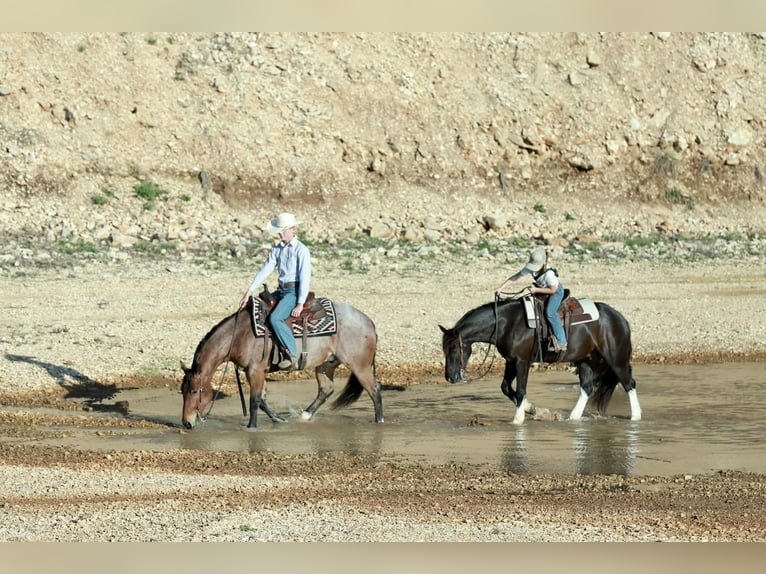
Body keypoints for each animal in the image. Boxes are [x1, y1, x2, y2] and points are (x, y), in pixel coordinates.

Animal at [181, 299, 383, 429]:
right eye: (182, 391)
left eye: (194, 391)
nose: (186, 423)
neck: (239, 335)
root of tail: (368, 321)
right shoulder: (253, 372)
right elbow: (262, 400)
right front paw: (278, 419)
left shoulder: (255, 371)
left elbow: (254, 400)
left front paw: (251, 427)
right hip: (326, 365)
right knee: (326, 390)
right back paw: (305, 415)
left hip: (359, 366)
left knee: (374, 389)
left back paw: (379, 421)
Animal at [439, 297, 642, 425]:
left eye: (455, 347)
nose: (450, 377)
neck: (507, 324)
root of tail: (619, 318)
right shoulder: (510, 361)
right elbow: (506, 388)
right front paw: (531, 409)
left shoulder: (522, 361)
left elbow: (521, 390)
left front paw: (518, 419)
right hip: (585, 360)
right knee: (587, 387)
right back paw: (573, 417)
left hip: (616, 359)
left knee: (629, 383)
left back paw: (635, 417)